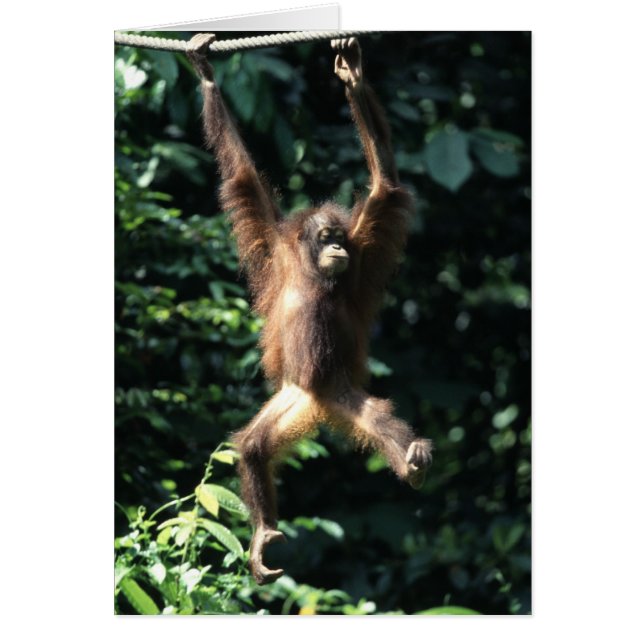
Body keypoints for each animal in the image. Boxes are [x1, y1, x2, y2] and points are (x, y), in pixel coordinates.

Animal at [186, 34, 433, 585]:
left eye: (341, 236)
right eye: (325, 237)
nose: (338, 247)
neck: (312, 272)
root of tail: (319, 404)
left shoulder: (366, 248)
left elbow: (384, 187)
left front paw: (352, 76)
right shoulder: (272, 245)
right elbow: (242, 177)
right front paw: (207, 75)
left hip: (341, 390)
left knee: (378, 420)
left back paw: (410, 459)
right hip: (292, 396)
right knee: (253, 447)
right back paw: (263, 535)